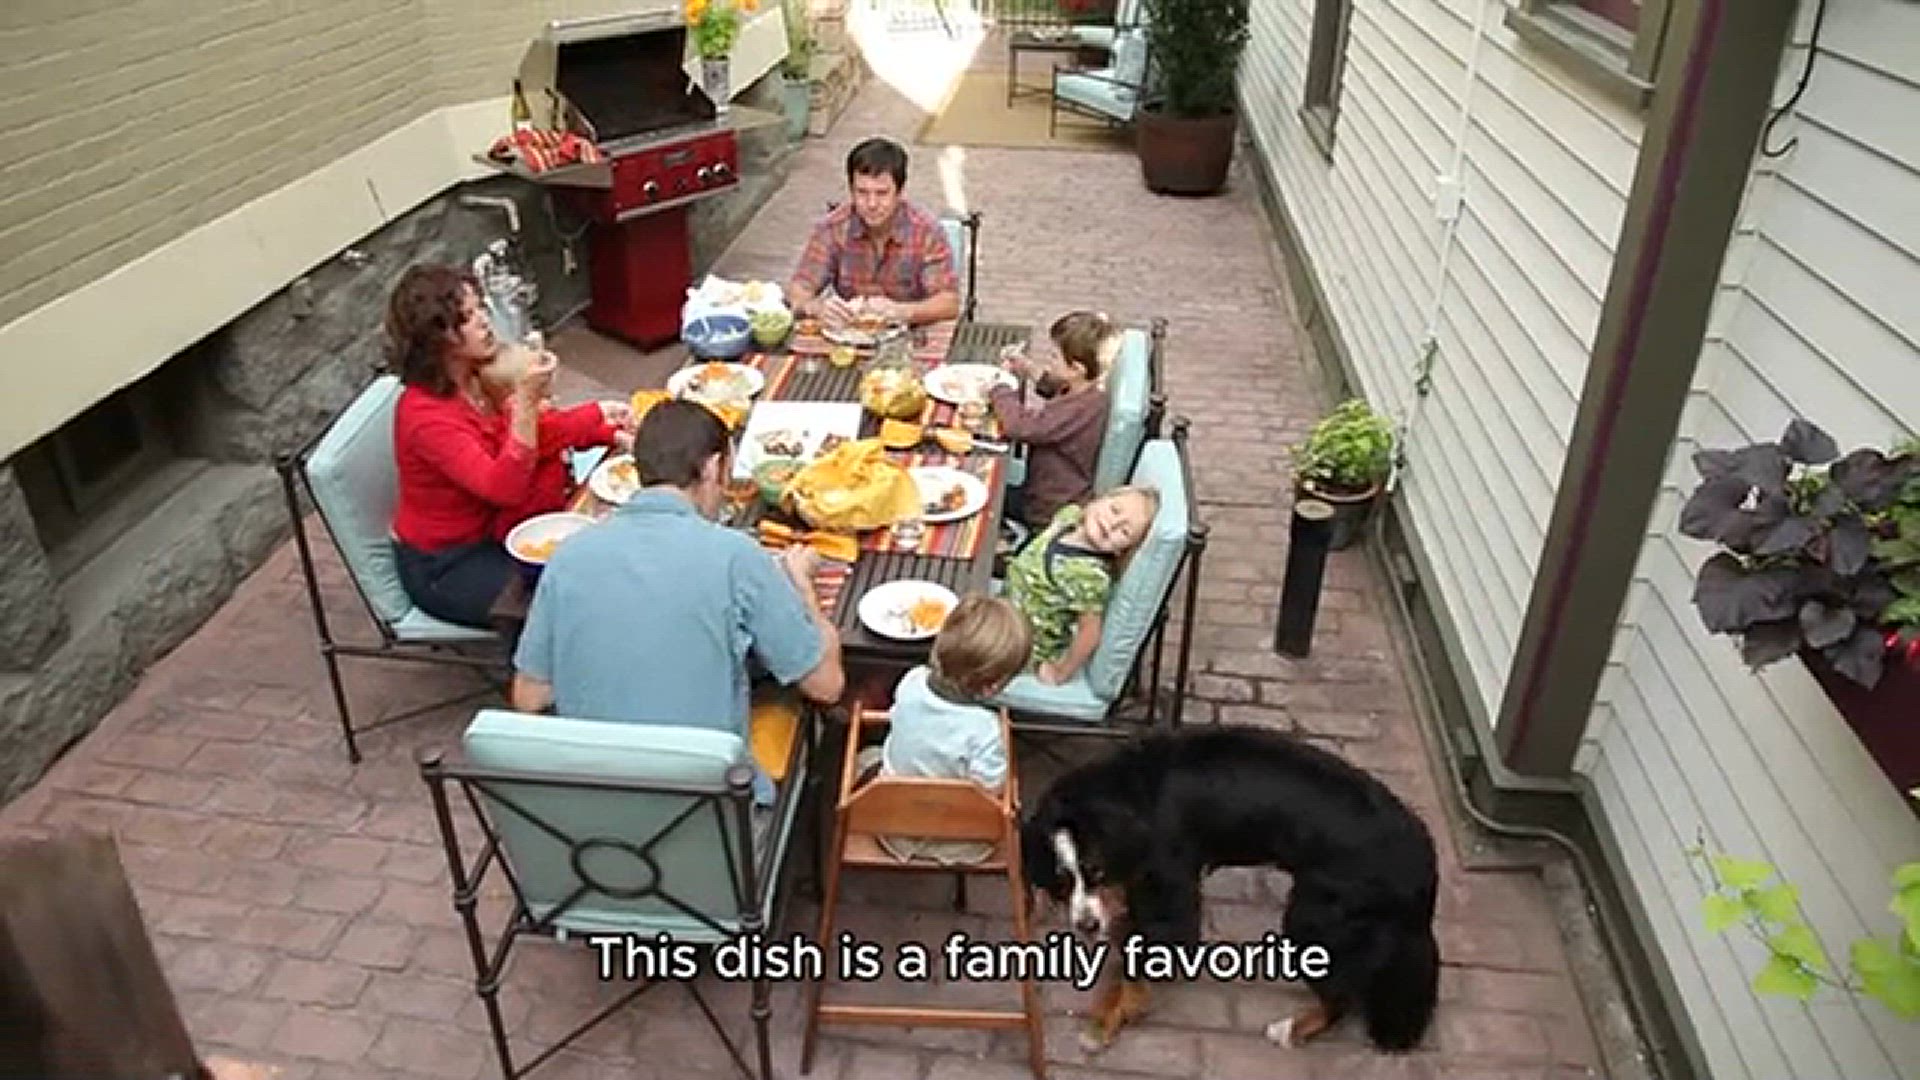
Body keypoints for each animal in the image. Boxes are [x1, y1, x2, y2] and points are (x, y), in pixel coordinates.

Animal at [1020, 725, 1440, 1054]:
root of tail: (1422, 857)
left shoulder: (1170, 892)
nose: (1085, 926)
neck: (1135, 795)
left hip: (1315, 917)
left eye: (1097, 871)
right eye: (1062, 881)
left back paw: (1291, 1029)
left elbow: (1140, 967)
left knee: (1341, 994)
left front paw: (1104, 1026)